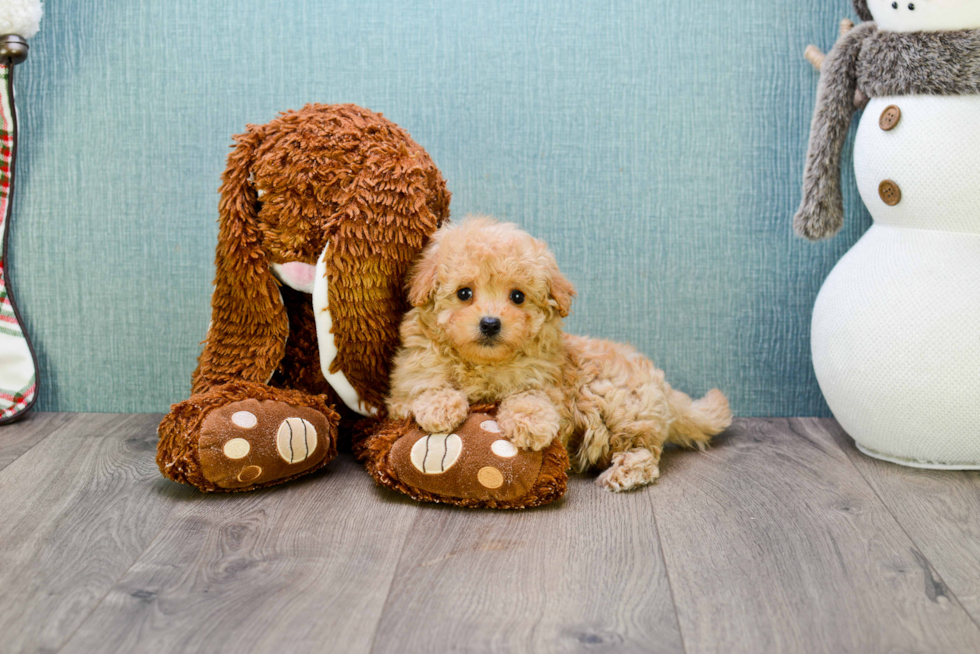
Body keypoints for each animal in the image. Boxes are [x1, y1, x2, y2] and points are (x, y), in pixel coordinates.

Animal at [386, 219, 732, 492]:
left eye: (517, 297)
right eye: (464, 293)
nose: (490, 323)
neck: (484, 365)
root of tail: (663, 386)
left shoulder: (549, 383)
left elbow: (530, 396)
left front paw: (530, 424)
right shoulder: (405, 383)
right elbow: (426, 385)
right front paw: (441, 407)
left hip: (623, 408)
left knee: (645, 453)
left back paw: (624, 473)